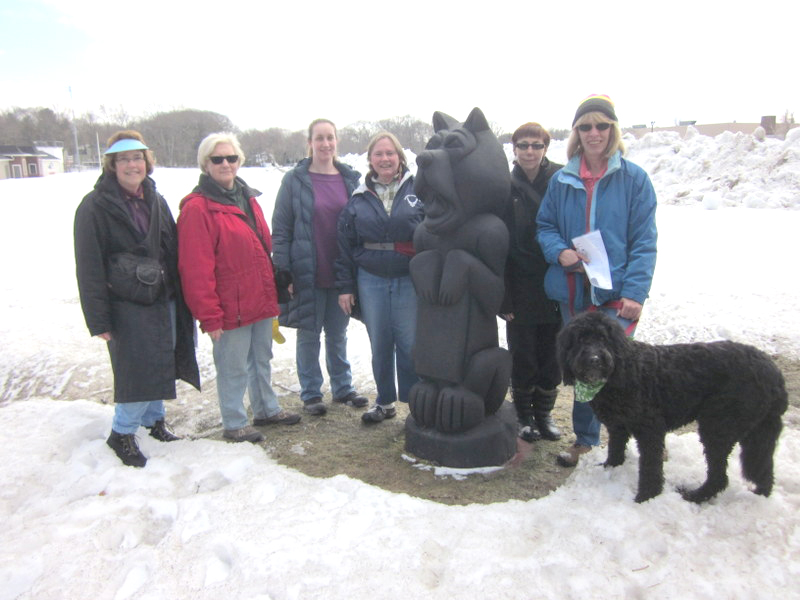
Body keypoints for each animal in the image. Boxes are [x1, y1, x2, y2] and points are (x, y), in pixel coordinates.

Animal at [556, 312, 788, 504]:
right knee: (763, 467)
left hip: (718, 427)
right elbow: (615, 448)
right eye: (580, 339)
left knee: (720, 476)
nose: (594, 359)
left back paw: (695, 496)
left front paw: (647, 496)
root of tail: (774, 373)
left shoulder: (651, 430)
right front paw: (610, 467)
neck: (621, 371)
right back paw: (760, 496)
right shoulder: (618, 426)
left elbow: (650, 466)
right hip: (756, 432)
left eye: (603, 338)